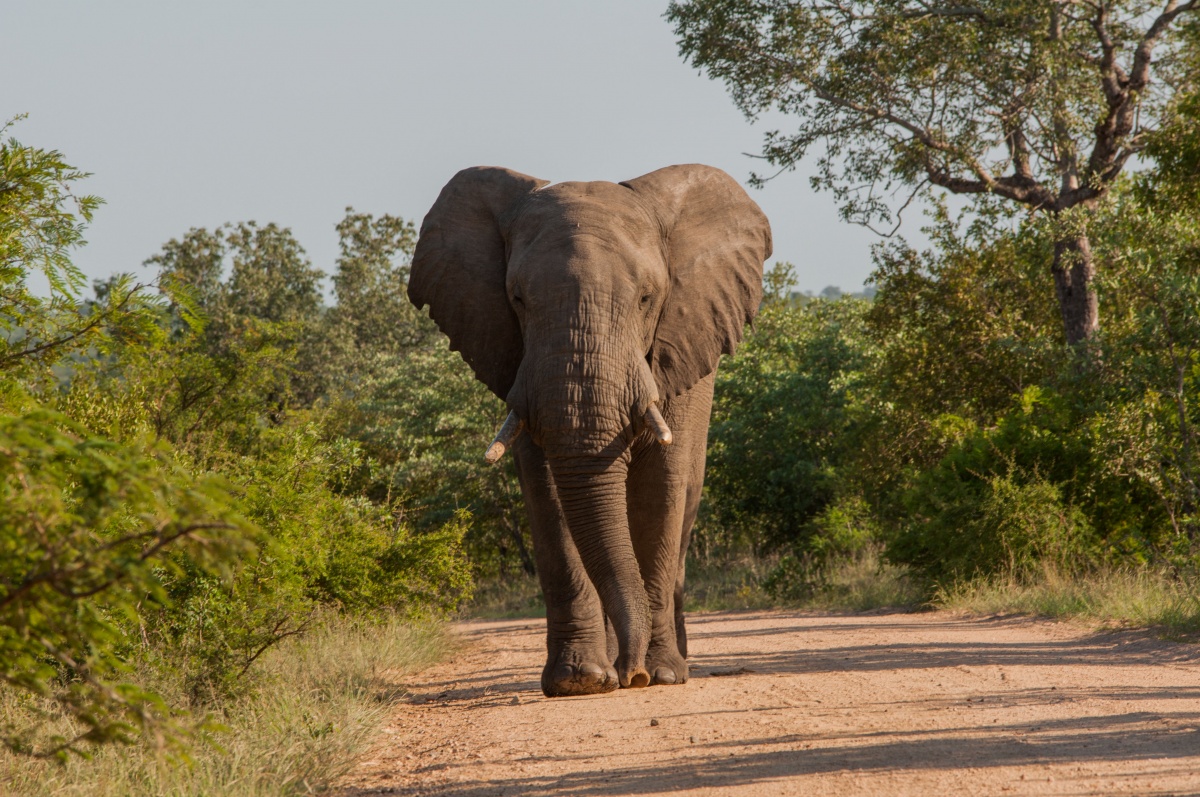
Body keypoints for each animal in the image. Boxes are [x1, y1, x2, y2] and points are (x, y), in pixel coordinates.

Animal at [408, 164, 771, 696]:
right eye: (517, 299)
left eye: (646, 298)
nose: (634, 673)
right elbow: (550, 492)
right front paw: (580, 681)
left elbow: (660, 483)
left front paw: (659, 676)